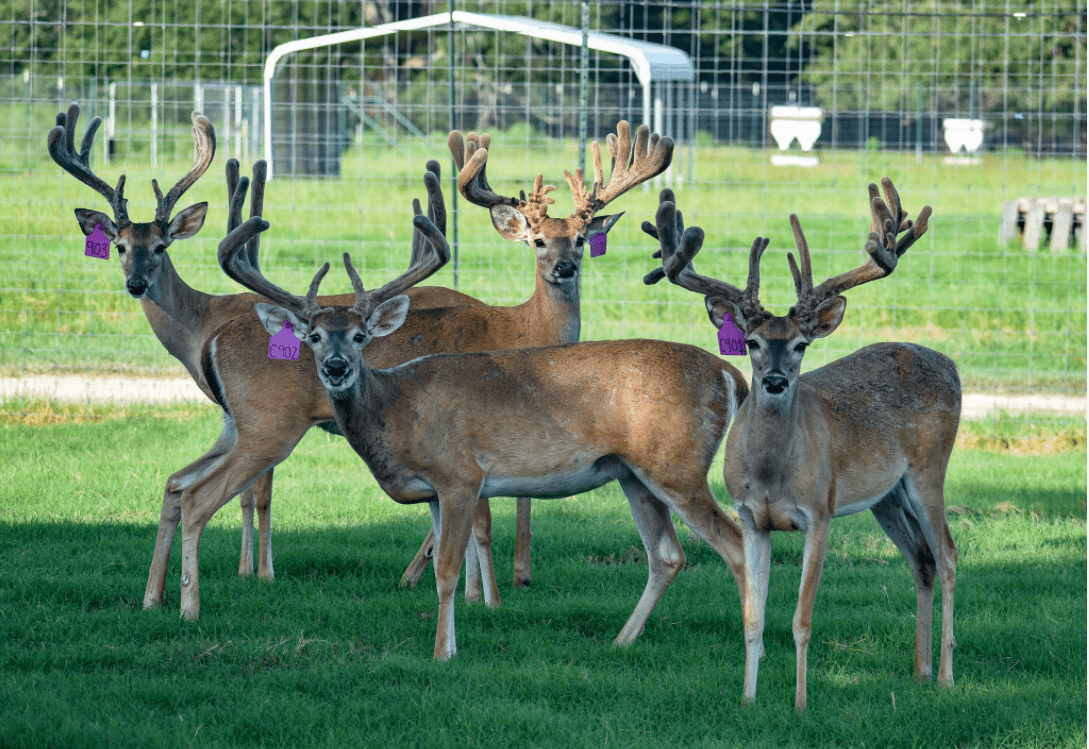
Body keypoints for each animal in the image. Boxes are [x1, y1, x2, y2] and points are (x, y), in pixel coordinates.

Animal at [47, 103, 477, 593]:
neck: (201, 327)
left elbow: (258, 493)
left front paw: (257, 571)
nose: (136, 284)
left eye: (160, 246)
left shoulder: (260, 414)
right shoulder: (236, 417)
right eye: (119, 246)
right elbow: (241, 492)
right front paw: (248, 568)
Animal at [216, 209, 751, 660]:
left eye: (360, 336)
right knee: (668, 555)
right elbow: (438, 566)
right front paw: (451, 644)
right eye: (312, 337)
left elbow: (449, 569)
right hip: (633, 472)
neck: (397, 410)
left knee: (737, 544)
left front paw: (441, 654)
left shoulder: (460, 475)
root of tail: (730, 374)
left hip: (678, 464)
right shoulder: (433, 491)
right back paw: (621, 640)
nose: (334, 368)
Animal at [643, 179, 960, 711]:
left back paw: (945, 677)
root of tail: (951, 364)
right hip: (886, 495)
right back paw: (918, 671)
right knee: (922, 559)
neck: (773, 476)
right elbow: (753, 616)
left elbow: (801, 619)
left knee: (950, 555)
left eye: (801, 345)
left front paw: (800, 703)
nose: (773, 381)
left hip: (929, 471)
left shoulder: (820, 512)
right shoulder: (752, 517)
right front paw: (748, 699)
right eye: (750, 342)